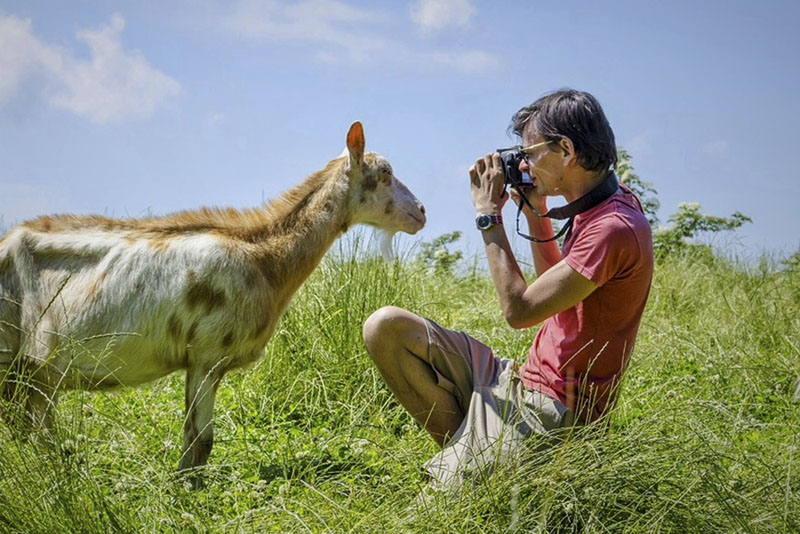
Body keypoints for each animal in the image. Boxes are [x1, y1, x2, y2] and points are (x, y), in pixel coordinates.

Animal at [0, 122, 425, 482]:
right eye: (385, 172)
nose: (421, 212)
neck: (265, 258)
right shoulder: (209, 354)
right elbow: (202, 439)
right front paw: (188, 491)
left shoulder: (198, 361)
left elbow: (193, 436)